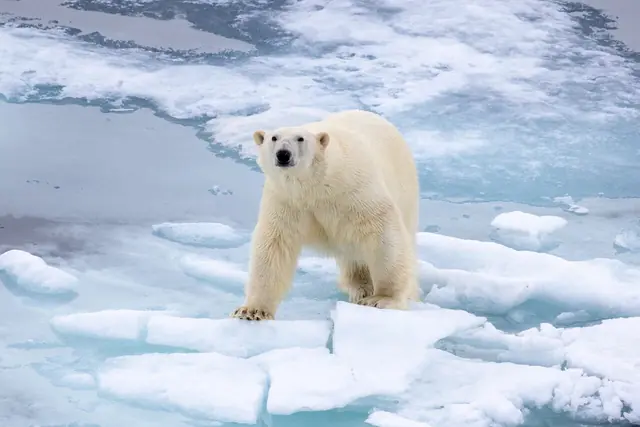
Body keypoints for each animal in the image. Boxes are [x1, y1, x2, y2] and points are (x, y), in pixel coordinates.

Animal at [231, 109, 420, 321]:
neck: (315, 185)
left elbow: (381, 231)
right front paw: (251, 310)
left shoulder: (353, 189)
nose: (283, 154)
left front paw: (381, 298)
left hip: (405, 188)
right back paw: (359, 286)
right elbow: (274, 245)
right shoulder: (287, 200)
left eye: (300, 138)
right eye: (274, 137)